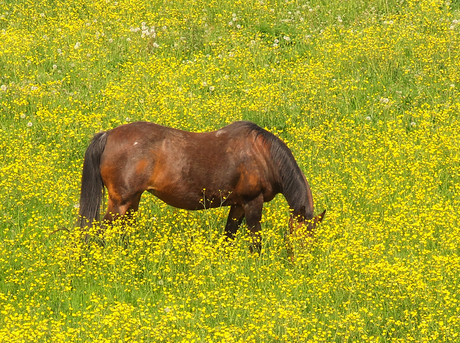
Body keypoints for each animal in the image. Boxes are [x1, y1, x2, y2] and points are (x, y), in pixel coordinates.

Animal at [78, 121, 324, 253]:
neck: (263, 154)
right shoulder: (253, 202)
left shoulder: (238, 205)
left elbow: (228, 237)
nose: (303, 266)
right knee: (99, 231)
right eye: (302, 238)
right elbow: (255, 241)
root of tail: (107, 135)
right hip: (120, 202)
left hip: (131, 202)